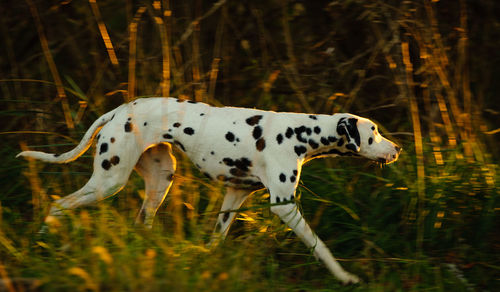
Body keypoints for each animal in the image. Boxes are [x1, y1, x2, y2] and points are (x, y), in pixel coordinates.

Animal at [18, 97, 402, 284]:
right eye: (374, 132)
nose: (398, 149)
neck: (300, 133)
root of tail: (117, 110)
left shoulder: (234, 197)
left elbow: (215, 242)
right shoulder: (284, 205)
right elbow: (320, 247)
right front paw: (345, 276)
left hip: (161, 180)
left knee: (142, 224)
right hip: (108, 181)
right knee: (58, 205)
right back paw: (42, 244)